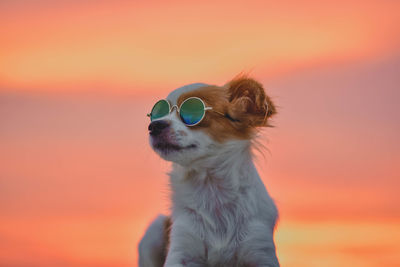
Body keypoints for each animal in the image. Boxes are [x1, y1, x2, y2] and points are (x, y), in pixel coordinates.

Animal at [139, 76, 280, 266]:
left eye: (193, 112)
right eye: (157, 113)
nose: (154, 125)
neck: (211, 188)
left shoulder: (260, 248)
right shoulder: (181, 250)